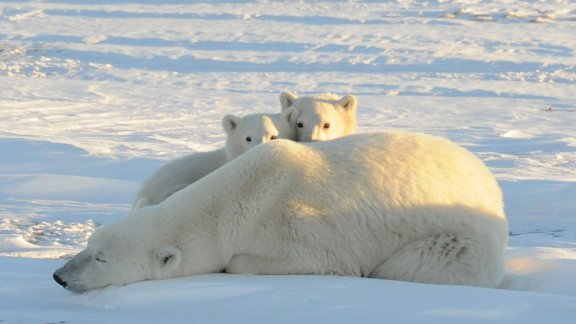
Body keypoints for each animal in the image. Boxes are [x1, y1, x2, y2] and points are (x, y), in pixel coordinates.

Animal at [51, 130, 506, 292]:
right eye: (89, 244)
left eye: (102, 259)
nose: (59, 276)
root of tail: (491, 185)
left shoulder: (294, 226)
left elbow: (320, 261)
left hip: (456, 238)